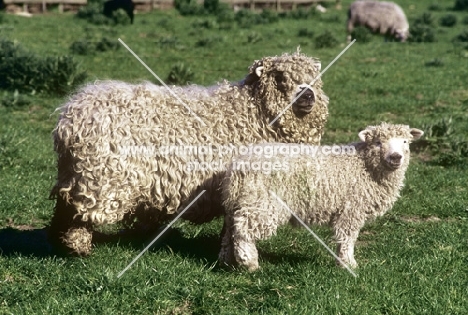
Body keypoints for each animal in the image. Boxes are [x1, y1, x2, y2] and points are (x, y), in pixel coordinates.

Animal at [45, 50, 328, 256]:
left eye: (315, 77)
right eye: (280, 77)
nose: (308, 95)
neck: (251, 113)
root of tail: (72, 116)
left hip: (75, 173)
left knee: (63, 205)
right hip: (101, 177)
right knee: (77, 212)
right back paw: (78, 248)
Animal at [219, 123, 424, 272]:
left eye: (405, 142)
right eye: (378, 142)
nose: (396, 157)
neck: (364, 165)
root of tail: (239, 165)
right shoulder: (351, 209)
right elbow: (348, 238)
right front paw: (349, 264)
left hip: (238, 201)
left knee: (230, 230)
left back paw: (227, 260)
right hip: (262, 202)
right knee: (243, 231)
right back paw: (250, 263)